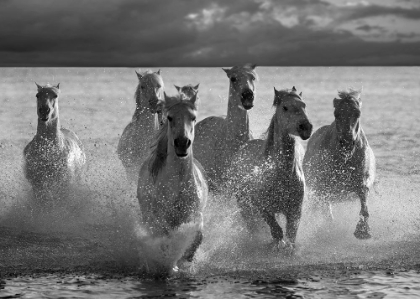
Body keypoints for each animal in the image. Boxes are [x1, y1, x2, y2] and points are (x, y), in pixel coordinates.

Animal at [137, 92, 208, 276]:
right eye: (170, 117)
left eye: (193, 117)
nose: (182, 143)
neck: (176, 185)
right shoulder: (159, 218)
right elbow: (165, 237)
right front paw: (167, 263)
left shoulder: (194, 215)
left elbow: (197, 237)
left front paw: (185, 261)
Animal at [231, 87, 314, 251]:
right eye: (285, 107)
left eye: (304, 105)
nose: (306, 128)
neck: (281, 175)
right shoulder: (264, 209)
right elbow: (276, 232)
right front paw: (275, 246)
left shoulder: (295, 210)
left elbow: (290, 235)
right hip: (244, 206)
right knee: (253, 226)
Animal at [304, 88, 376, 240]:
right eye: (336, 114)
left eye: (357, 113)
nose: (347, 142)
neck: (345, 159)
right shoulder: (322, 186)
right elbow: (325, 209)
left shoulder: (363, 181)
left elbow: (363, 199)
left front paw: (363, 230)